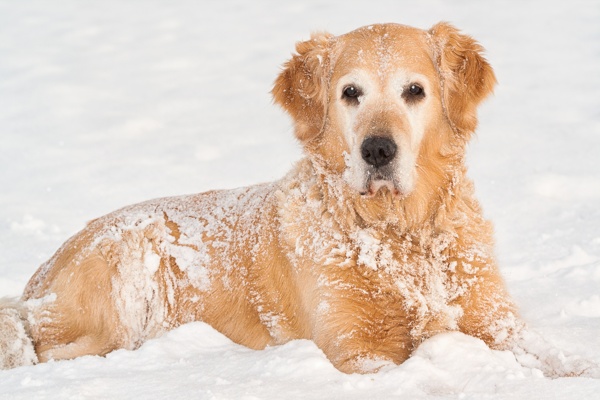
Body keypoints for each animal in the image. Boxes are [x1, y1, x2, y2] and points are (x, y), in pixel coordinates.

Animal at [0, 22, 596, 378]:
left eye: (415, 91)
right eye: (351, 93)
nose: (377, 149)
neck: (397, 231)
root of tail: (37, 278)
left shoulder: (496, 320)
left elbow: (553, 355)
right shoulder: (355, 348)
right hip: (127, 271)